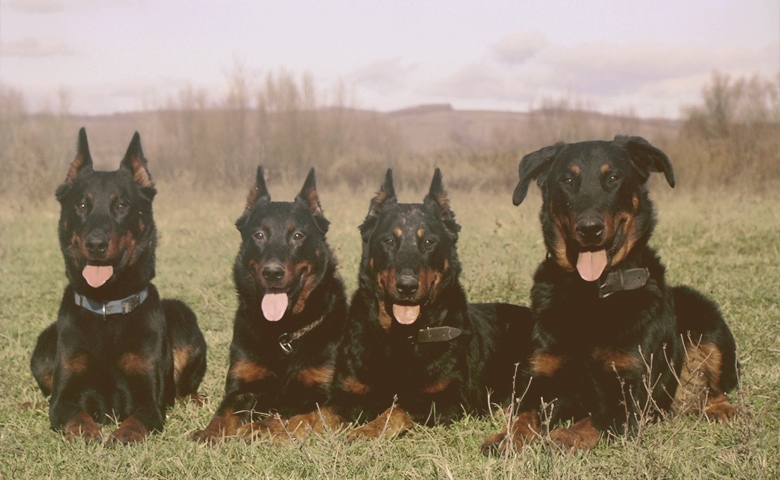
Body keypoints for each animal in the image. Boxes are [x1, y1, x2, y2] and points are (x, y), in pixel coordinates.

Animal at [30, 126, 207, 442]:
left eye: (122, 205)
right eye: (82, 205)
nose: (96, 244)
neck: (106, 306)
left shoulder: (147, 397)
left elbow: (139, 419)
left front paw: (124, 435)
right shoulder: (65, 397)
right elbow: (73, 414)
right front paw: (88, 431)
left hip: (183, 317)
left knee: (183, 389)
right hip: (43, 346)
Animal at [190, 168, 346, 442]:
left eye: (298, 235)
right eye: (259, 235)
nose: (272, 272)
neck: (284, 333)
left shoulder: (325, 400)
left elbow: (287, 420)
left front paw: (255, 428)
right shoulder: (242, 387)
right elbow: (223, 415)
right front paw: (209, 434)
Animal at [326, 169, 532, 438]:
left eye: (428, 242)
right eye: (389, 241)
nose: (406, 286)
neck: (402, 338)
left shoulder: (448, 400)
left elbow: (395, 410)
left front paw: (364, 431)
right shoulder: (347, 393)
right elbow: (317, 414)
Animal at [484, 134, 740, 454]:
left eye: (614, 178)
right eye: (568, 180)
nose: (589, 228)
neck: (592, 294)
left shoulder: (633, 389)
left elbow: (598, 419)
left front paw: (563, 437)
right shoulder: (544, 377)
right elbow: (525, 414)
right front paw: (507, 438)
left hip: (704, 314)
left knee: (716, 388)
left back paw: (723, 410)